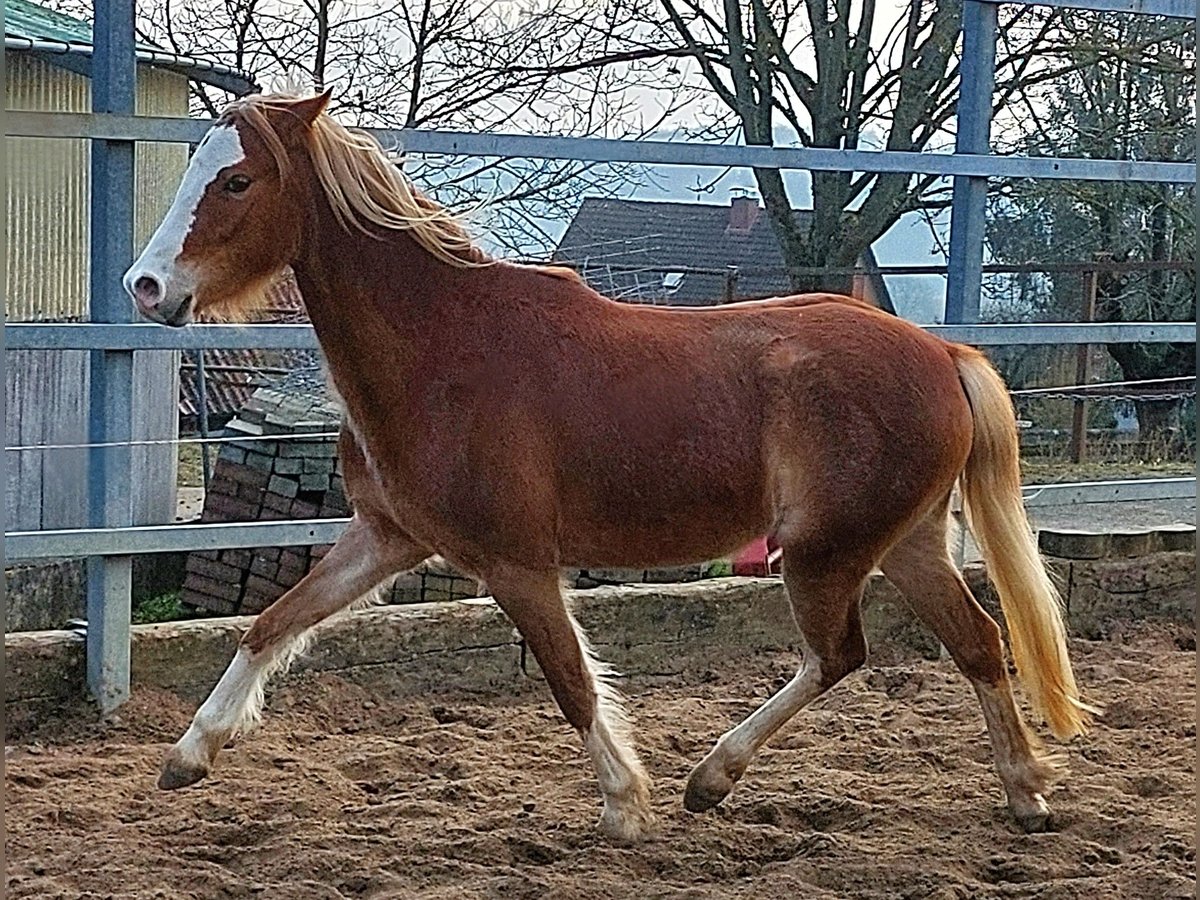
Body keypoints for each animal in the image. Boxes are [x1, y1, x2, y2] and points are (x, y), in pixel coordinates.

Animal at [124, 95, 1099, 844]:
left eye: (237, 180)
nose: (145, 288)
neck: (442, 349)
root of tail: (943, 354)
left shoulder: (517, 564)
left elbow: (570, 679)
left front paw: (626, 808)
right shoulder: (386, 537)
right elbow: (271, 625)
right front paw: (188, 756)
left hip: (829, 553)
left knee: (843, 654)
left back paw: (712, 778)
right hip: (906, 542)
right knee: (976, 641)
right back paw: (1026, 794)